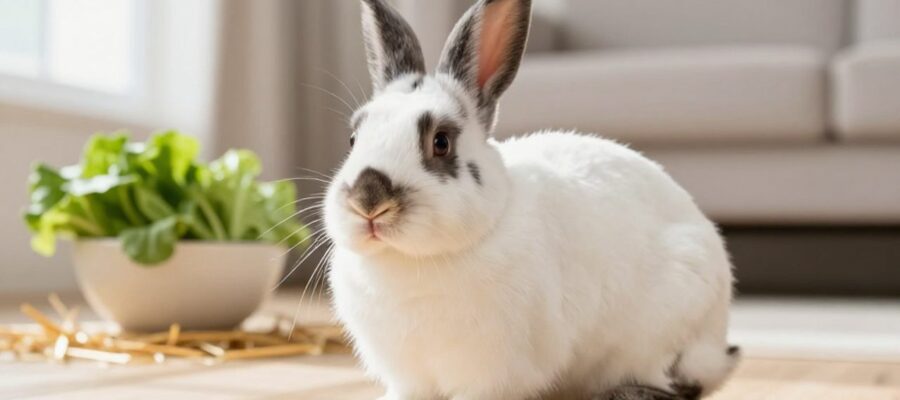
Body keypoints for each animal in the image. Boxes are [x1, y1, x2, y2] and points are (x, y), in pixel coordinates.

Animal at [323, 0, 740, 399]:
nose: (368, 200)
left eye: (440, 142)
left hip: (660, 330)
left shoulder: (492, 370)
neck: (410, 261)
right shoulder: (408, 375)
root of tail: (717, 343)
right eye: (353, 139)